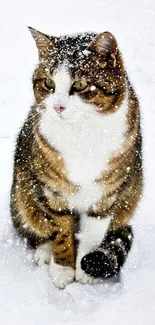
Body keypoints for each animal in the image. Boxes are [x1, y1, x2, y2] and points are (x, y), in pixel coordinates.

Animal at [10, 26, 143, 288]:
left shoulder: (107, 193)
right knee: (34, 226)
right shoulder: (52, 189)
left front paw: (84, 269)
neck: (82, 135)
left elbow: (92, 233)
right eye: (48, 83)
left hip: (131, 193)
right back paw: (44, 252)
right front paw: (62, 268)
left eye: (80, 84)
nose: (58, 107)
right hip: (22, 191)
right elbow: (61, 229)